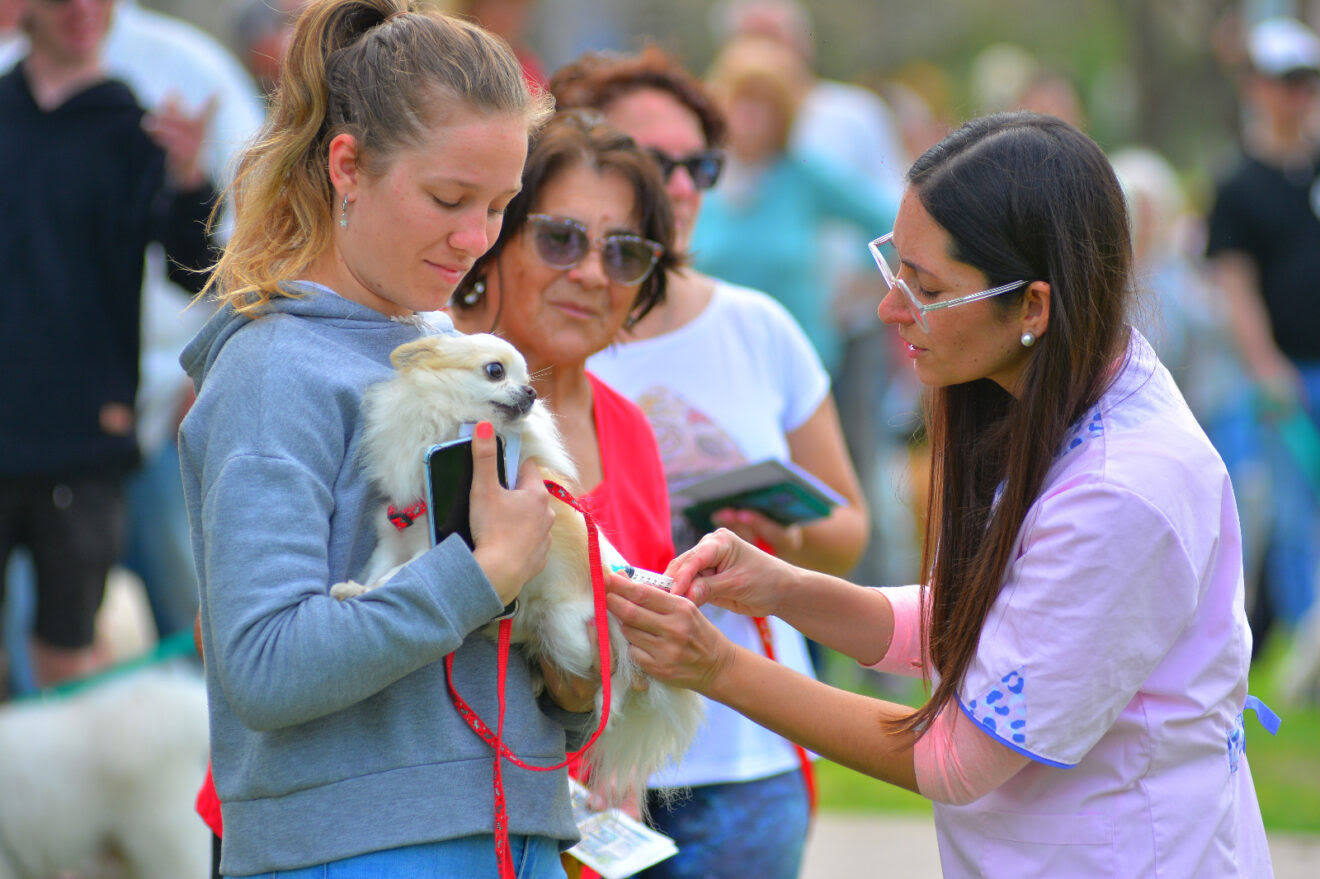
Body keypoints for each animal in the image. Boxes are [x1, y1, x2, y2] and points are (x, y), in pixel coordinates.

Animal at [332, 332, 702, 802]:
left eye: (529, 378)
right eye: (495, 371)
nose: (530, 393)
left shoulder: (437, 544)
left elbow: (402, 575)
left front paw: (366, 591)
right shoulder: (395, 535)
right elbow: (381, 569)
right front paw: (356, 590)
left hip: (568, 627)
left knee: (610, 690)